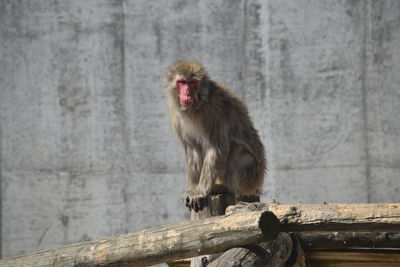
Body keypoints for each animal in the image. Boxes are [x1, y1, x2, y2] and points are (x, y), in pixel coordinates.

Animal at [162, 61, 266, 214]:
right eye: (182, 82)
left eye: (192, 83)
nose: (187, 94)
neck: (197, 106)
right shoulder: (176, 114)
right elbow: (192, 148)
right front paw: (193, 188)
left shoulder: (214, 111)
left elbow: (216, 148)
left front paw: (200, 191)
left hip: (251, 177)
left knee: (237, 150)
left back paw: (225, 188)